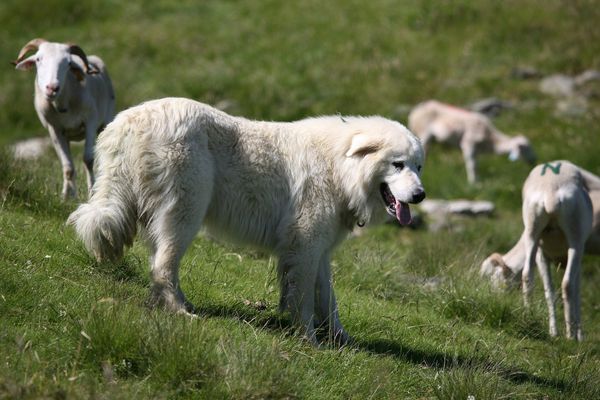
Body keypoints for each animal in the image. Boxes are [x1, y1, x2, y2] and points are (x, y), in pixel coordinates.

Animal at [13, 39, 115, 198]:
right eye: (38, 59)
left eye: (68, 63)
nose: (52, 88)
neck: (64, 104)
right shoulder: (55, 129)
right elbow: (67, 166)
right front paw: (67, 196)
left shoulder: (90, 122)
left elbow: (88, 159)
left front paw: (92, 192)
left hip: (105, 123)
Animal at [69, 98, 426, 346]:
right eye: (397, 164)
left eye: (418, 166)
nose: (420, 195)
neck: (339, 166)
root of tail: (127, 121)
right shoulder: (305, 246)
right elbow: (304, 299)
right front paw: (309, 341)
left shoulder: (319, 249)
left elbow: (328, 298)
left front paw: (341, 339)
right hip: (185, 211)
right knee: (163, 265)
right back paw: (180, 311)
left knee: (160, 263)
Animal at [408, 100, 536, 183]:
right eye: (525, 148)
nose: (534, 160)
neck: (490, 140)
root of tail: (414, 113)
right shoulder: (468, 144)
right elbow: (472, 164)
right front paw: (473, 182)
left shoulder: (476, 150)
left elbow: (476, 164)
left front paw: (477, 179)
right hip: (424, 132)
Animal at [480, 161, 600, 342]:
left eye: (492, 277)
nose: (493, 298)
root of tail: (551, 193)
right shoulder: (577, 253)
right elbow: (576, 291)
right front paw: (579, 335)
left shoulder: (541, 253)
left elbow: (548, 289)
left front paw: (557, 331)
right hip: (575, 238)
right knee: (567, 284)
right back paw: (570, 336)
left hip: (533, 229)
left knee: (528, 276)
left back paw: (531, 318)